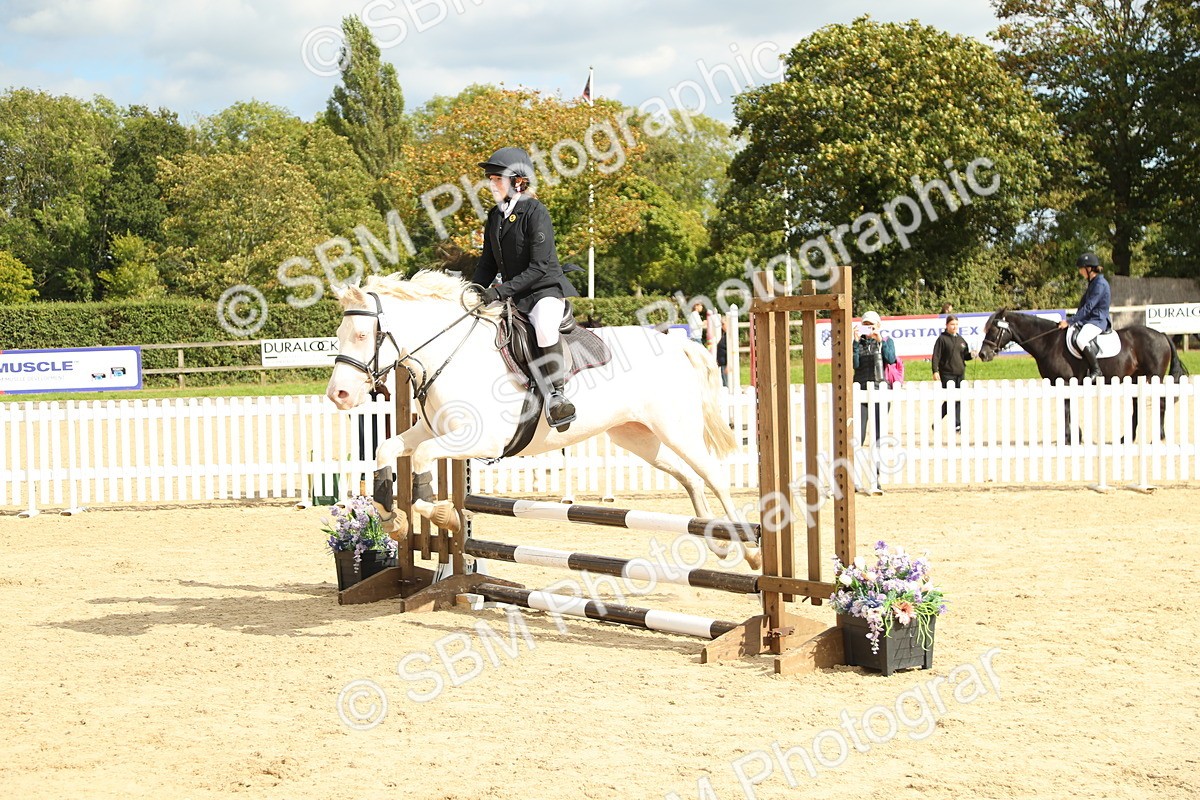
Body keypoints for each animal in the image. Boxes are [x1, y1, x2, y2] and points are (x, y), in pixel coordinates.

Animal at [324, 270, 758, 567]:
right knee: (689, 479)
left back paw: (751, 550)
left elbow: (421, 459)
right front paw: (392, 518)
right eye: (339, 334)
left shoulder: (481, 439)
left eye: (362, 335)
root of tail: (675, 344)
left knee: (714, 477)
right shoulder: (432, 429)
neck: (452, 355)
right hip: (637, 438)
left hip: (678, 430)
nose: (338, 395)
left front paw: (443, 515)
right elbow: (388, 448)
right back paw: (718, 545)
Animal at [978, 308, 1187, 441]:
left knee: (1161, 404)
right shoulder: (1058, 384)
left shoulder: (1066, 382)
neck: (1049, 342)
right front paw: (1072, 436)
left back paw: (1159, 436)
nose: (982, 355)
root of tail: (1161, 334)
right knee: (1136, 405)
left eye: (994, 329)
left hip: (1154, 378)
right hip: (1136, 379)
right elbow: (1067, 409)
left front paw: (1071, 438)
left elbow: (1067, 409)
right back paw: (1127, 438)